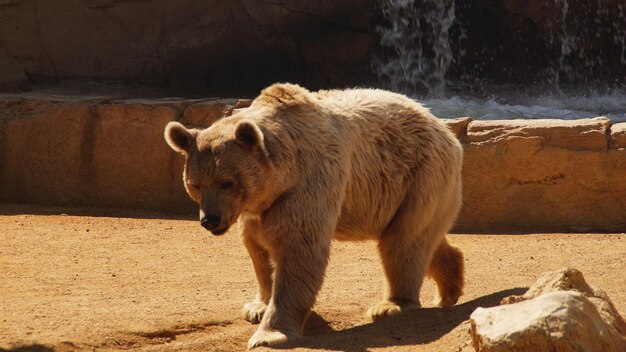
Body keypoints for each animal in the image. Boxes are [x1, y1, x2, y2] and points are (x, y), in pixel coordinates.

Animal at [163, 83, 460, 350]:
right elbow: (257, 247)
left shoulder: (308, 184)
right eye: (196, 184)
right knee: (422, 238)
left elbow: (298, 251)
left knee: (403, 241)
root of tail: (445, 129)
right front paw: (257, 306)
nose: (210, 219)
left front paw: (269, 334)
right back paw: (450, 284)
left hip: (418, 175)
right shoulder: (258, 208)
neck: (283, 174)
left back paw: (391, 305)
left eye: (227, 182)